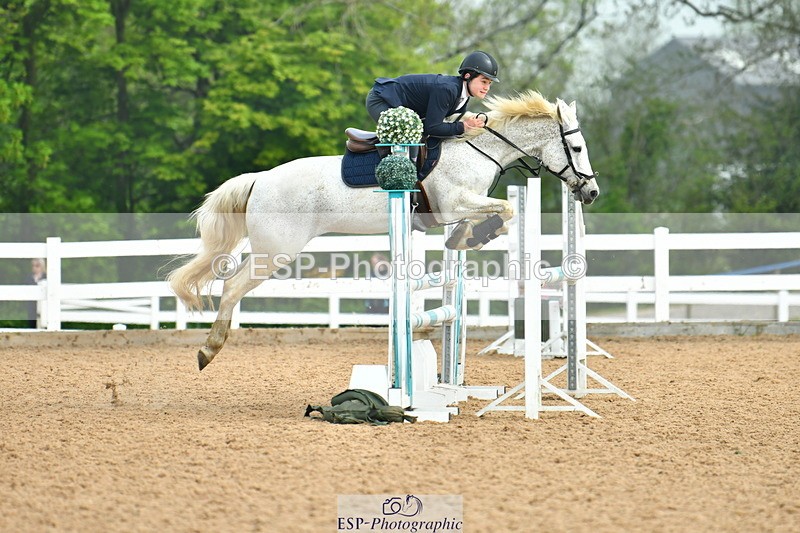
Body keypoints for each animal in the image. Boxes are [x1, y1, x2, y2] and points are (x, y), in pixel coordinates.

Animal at [168, 90, 600, 370]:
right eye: (577, 149)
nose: (591, 192)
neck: (477, 149)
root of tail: (260, 179)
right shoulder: (453, 202)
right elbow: (505, 209)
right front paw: (475, 235)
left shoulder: (457, 207)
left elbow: (492, 216)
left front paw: (467, 237)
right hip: (275, 252)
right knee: (232, 287)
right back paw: (208, 350)